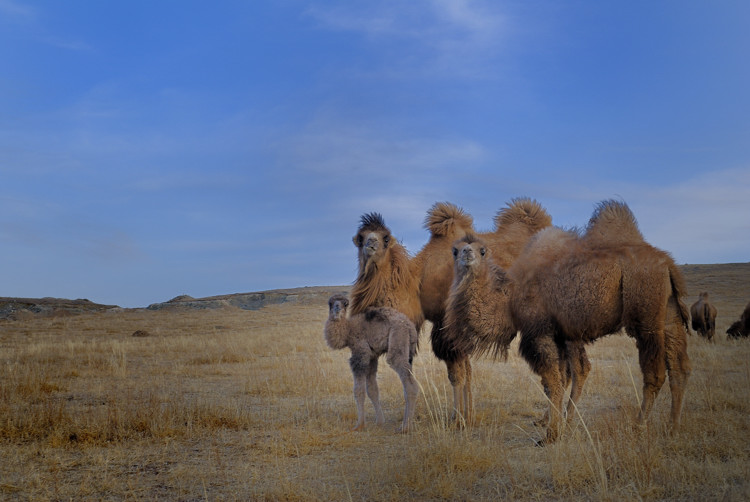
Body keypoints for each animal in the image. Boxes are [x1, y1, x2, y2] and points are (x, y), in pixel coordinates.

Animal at [324, 294, 420, 432]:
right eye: (330, 303)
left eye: (346, 303)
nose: (337, 307)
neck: (348, 330)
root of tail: (410, 327)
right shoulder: (372, 357)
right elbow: (372, 390)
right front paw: (379, 422)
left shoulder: (360, 353)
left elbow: (359, 390)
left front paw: (359, 425)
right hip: (408, 351)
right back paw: (405, 425)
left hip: (398, 336)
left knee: (409, 383)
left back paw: (405, 427)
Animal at [350, 198, 556, 426]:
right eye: (361, 237)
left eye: (385, 238)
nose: (370, 244)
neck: (418, 280)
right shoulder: (456, 328)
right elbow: (466, 372)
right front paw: (466, 415)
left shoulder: (446, 328)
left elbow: (457, 375)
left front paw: (458, 419)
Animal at [446, 200, 692, 444]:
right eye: (455, 250)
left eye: (483, 250)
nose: (467, 253)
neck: (510, 299)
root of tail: (668, 265)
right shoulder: (561, 334)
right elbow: (564, 377)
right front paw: (559, 426)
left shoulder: (539, 332)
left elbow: (552, 382)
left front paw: (552, 435)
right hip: (670, 314)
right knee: (680, 368)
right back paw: (673, 428)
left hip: (646, 316)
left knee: (655, 373)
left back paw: (638, 426)